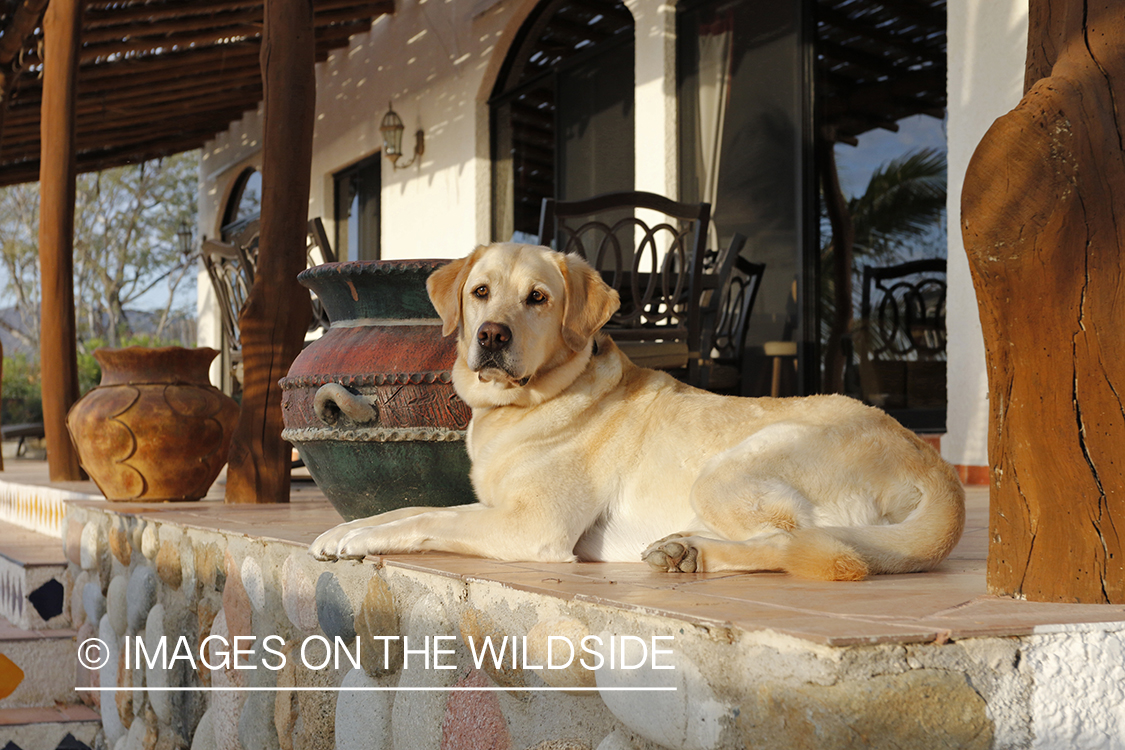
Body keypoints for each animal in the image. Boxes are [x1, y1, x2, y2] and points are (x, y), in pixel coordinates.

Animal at [310, 244, 967, 584]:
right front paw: (344, 531)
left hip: (730, 468)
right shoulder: (496, 506)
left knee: (811, 545)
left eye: (538, 298)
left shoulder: (531, 525)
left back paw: (695, 552)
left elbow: (429, 520)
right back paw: (685, 550)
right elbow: (413, 507)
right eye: (480, 292)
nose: (492, 336)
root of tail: (936, 470)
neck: (531, 402)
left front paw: (362, 538)